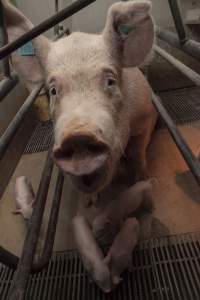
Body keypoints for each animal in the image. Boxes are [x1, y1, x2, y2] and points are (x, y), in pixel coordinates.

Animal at [2, 0, 157, 193]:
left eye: (110, 81)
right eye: (53, 90)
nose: (78, 137)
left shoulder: (145, 115)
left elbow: (138, 152)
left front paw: (144, 180)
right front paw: (92, 200)